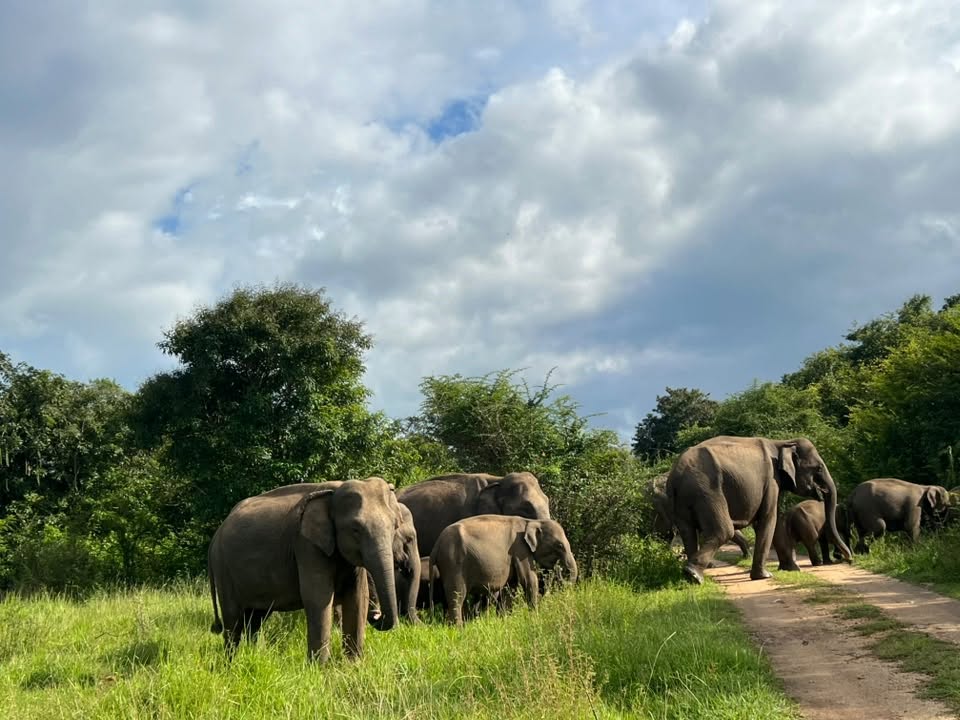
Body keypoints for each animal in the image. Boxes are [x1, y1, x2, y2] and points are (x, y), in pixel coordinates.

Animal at [207, 478, 403, 662]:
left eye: (395, 526)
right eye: (355, 529)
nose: (376, 615)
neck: (334, 491)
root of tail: (215, 535)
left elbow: (358, 597)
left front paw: (353, 665)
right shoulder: (306, 545)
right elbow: (318, 597)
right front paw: (320, 668)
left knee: (256, 618)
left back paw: (254, 655)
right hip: (223, 568)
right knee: (233, 619)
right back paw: (231, 663)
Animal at [429, 514, 577, 627]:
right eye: (559, 545)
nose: (559, 567)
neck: (531, 521)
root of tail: (436, 545)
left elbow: (510, 586)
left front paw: (505, 620)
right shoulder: (520, 549)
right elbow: (528, 579)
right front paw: (535, 616)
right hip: (453, 563)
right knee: (457, 595)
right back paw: (459, 628)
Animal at [666, 435, 852, 584]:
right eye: (818, 468)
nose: (849, 559)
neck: (782, 442)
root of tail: (676, 475)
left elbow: (774, 521)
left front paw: (790, 568)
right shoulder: (771, 480)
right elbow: (769, 518)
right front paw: (765, 576)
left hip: (682, 498)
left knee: (688, 532)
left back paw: (689, 577)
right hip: (707, 491)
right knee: (723, 531)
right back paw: (693, 575)